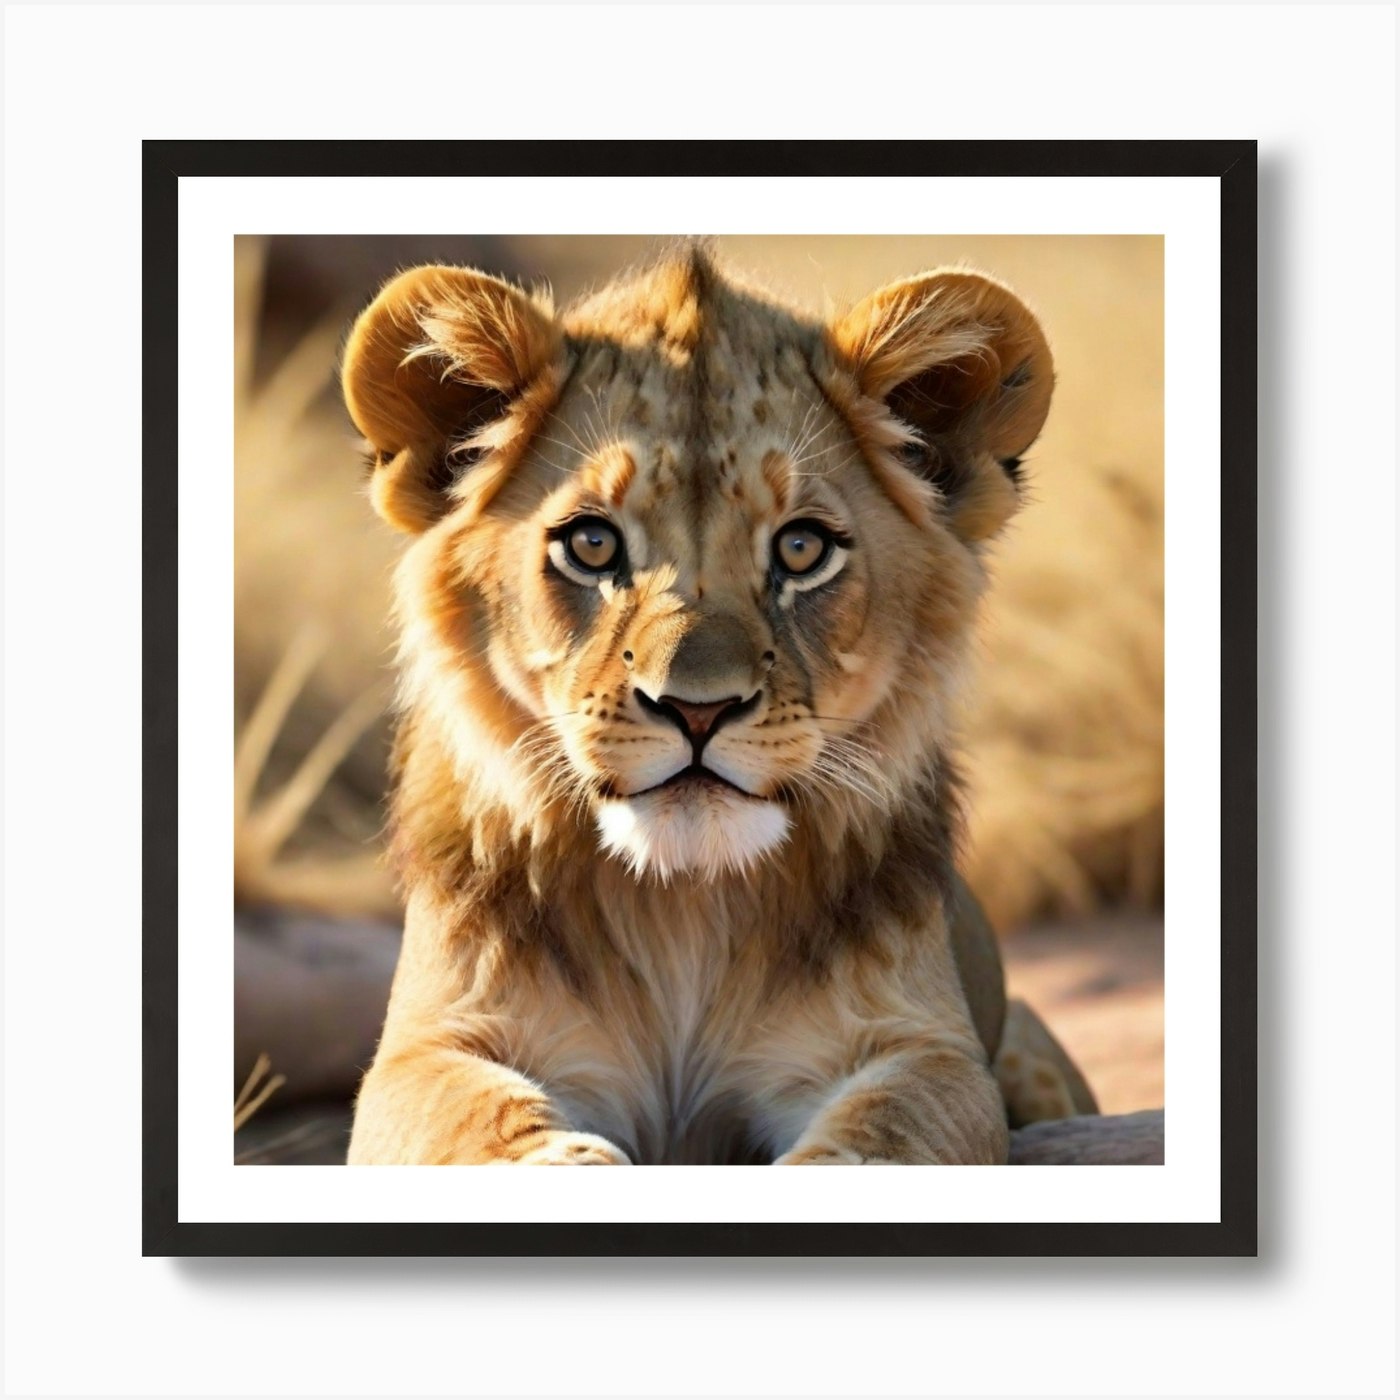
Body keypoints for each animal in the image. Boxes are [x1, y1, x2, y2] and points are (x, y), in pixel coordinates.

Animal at [340, 246, 1096, 1165]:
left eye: (802, 549)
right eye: (592, 543)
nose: (696, 711)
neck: (683, 906)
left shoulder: (927, 1050)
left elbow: (882, 1137)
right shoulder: (425, 1052)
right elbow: (491, 1126)